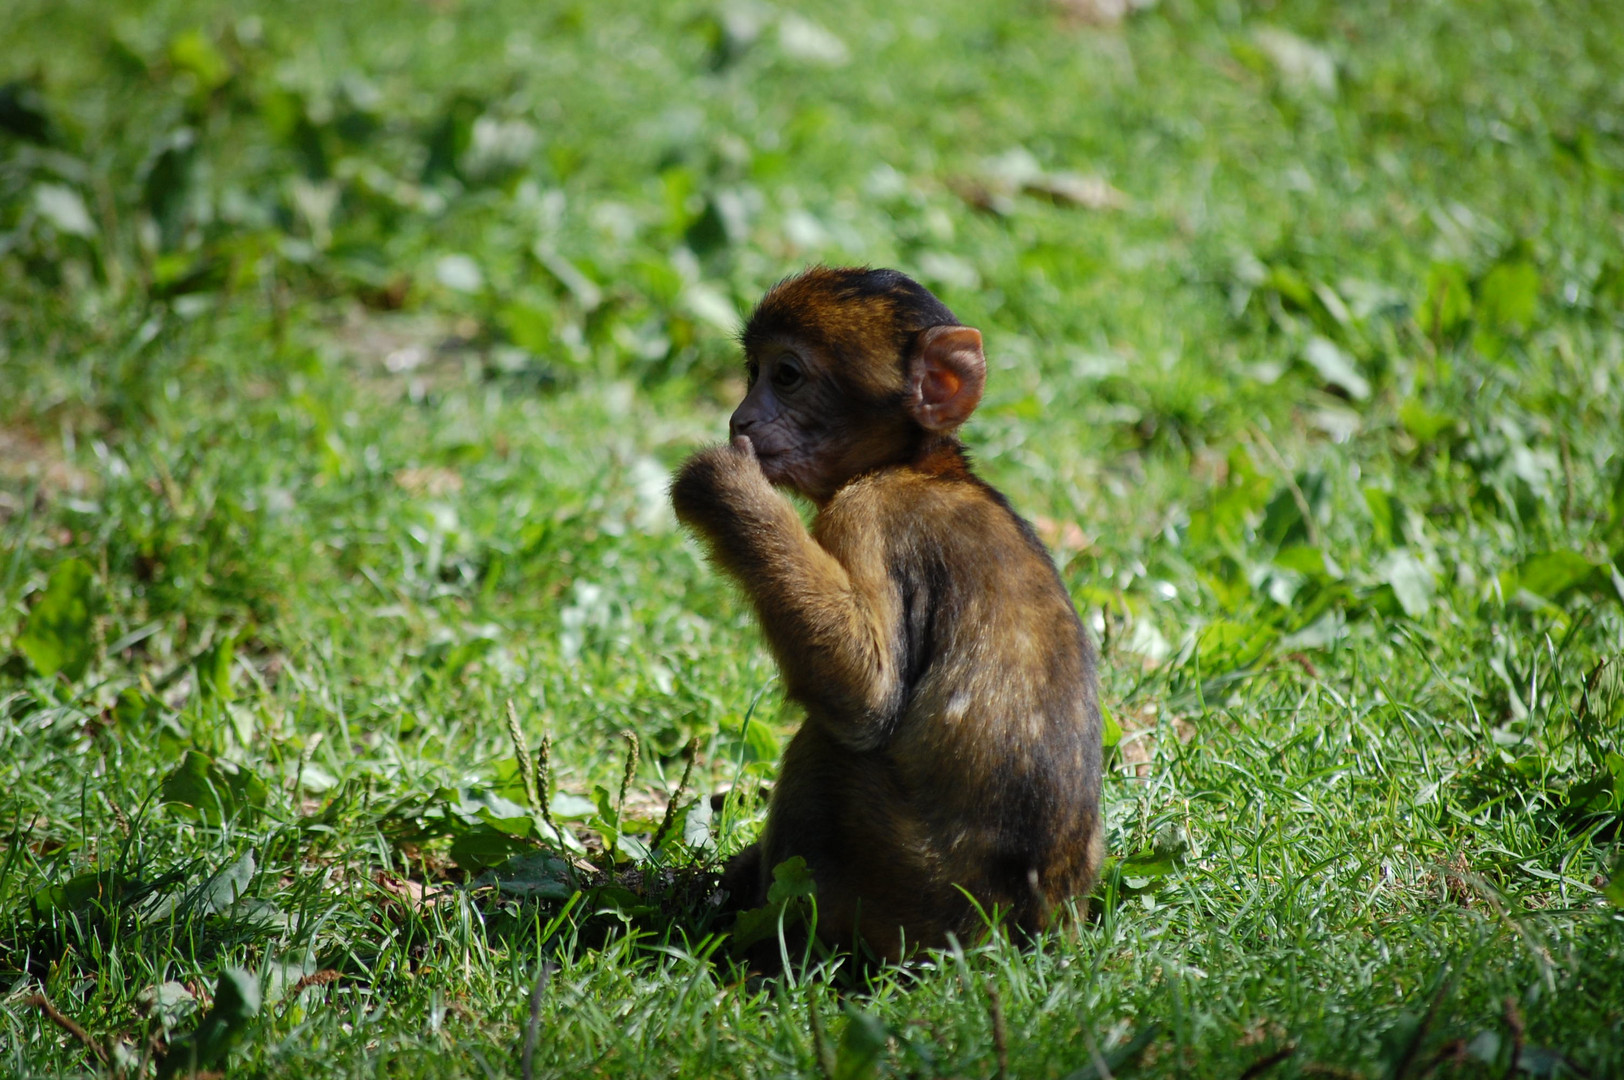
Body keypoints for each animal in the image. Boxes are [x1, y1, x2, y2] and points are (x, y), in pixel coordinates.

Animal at [672, 267, 1104, 961]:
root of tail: (1030, 931)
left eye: (786, 375)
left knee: (827, 750)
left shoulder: (867, 514)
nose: (741, 416)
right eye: (753, 371)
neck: (918, 464)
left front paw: (723, 486)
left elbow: (864, 698)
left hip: (910, 898)